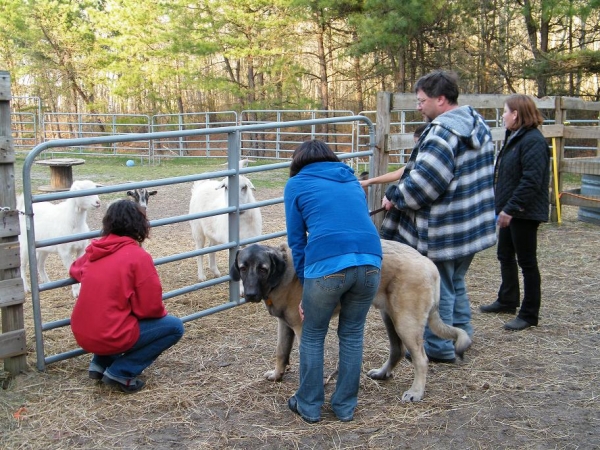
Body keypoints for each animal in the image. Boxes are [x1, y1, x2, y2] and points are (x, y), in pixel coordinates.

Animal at [232, 239, 472, 400]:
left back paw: (416, 392)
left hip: (406, 322)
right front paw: (277, 375)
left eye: (263, 269)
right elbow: (281, 352)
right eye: (243, 268)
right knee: (396, 350)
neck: (283, 273)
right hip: (390, 317)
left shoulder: (303, 327)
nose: (250, 294)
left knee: (421, 359)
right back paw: (383, 373)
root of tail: (429, 264)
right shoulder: (284, 324)